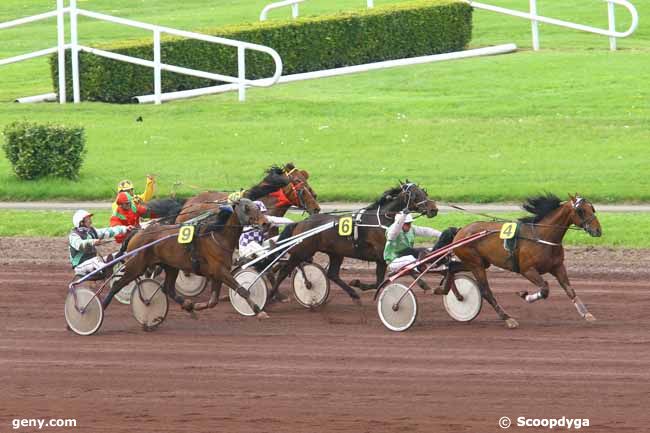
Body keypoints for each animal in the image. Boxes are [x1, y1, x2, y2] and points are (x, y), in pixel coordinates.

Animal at [103, 198, 268, 318]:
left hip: (171, 266)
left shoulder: (217, 274)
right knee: (117, 284)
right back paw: (102, 307)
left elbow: (213, 301)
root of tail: (137, 232)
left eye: (257, 207)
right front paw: (259, 311)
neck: (218, 235)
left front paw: (196, 306)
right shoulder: (220, 271)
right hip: (136, 266)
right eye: (247, 208)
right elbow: (243, 290)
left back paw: (188, 307)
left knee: (168, 288)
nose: (265, 222)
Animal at [266, 181, 438, 302]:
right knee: (283, 271)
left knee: (332, 274)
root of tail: (300, 223)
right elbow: (390, 275)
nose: (434, 209)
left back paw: (353, 293)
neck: (384, 219)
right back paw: (273, 295)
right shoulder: (382, 254)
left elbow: (384, 278)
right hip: (301, 252)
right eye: (415, 195)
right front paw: (424, 285)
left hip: (335, 253)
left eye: (425, 192)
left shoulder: (382, 257)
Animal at [454, 192, 600, 328]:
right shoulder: (527, 270)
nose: (598, 231)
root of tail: (460, 232)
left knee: (451, 270)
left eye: (592, 208)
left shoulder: (558, 266)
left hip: (480, 263)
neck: (541, 237)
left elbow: (570, 290)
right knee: (486, 291)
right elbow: (545, 289)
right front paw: (524, 295)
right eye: (580, 210)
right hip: (475, 263)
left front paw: (587, 314)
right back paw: (508, 319)